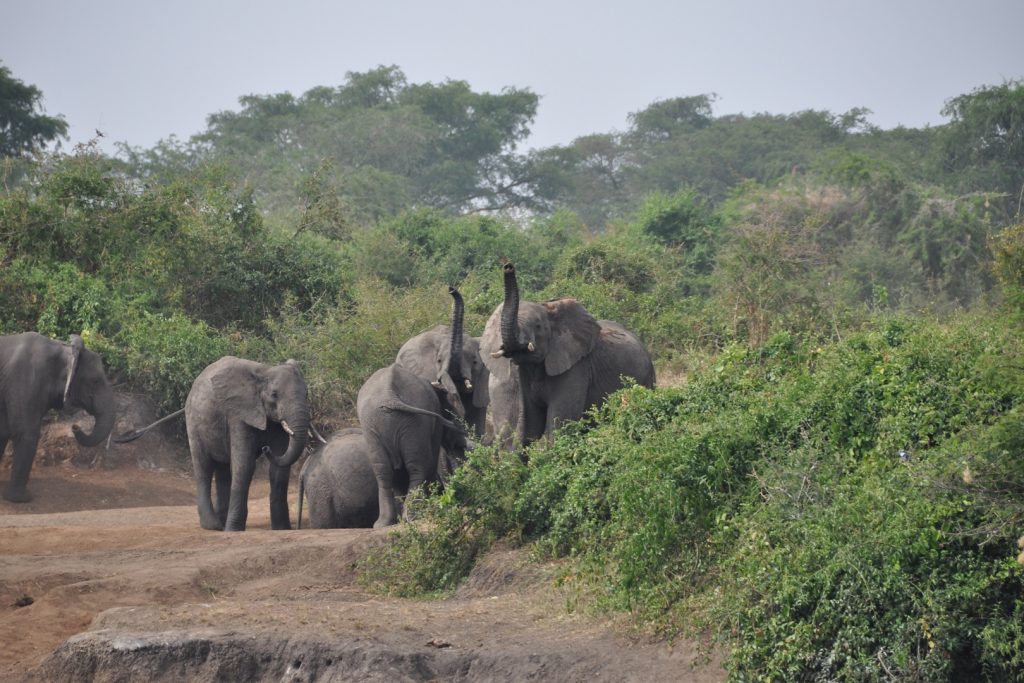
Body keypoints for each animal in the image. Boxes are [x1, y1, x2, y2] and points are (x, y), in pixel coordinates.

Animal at [0, 333, 116, 505]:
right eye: (95, 381)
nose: (75, 427)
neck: (63, 348)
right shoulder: (25, 381)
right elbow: (25, 433)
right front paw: (21, 499)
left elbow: (3, 433)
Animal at [184, 358, 311, 532]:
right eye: (274, 394)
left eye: (307, 394)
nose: (265, 448)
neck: (264, 371)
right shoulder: (238, 413)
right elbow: (245, 465)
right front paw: (233, 530)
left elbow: (279, 470)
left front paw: (282, 528)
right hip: (193, 423)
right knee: (203, 468)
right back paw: (213, 526)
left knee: (223, 470)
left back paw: (221, 522)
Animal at [352, 362, 464, 528]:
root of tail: (390, 397)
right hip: (413, 423)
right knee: (417, 469)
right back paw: (413, 517)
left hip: (374, 425)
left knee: (383, 472)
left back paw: (384, 523)